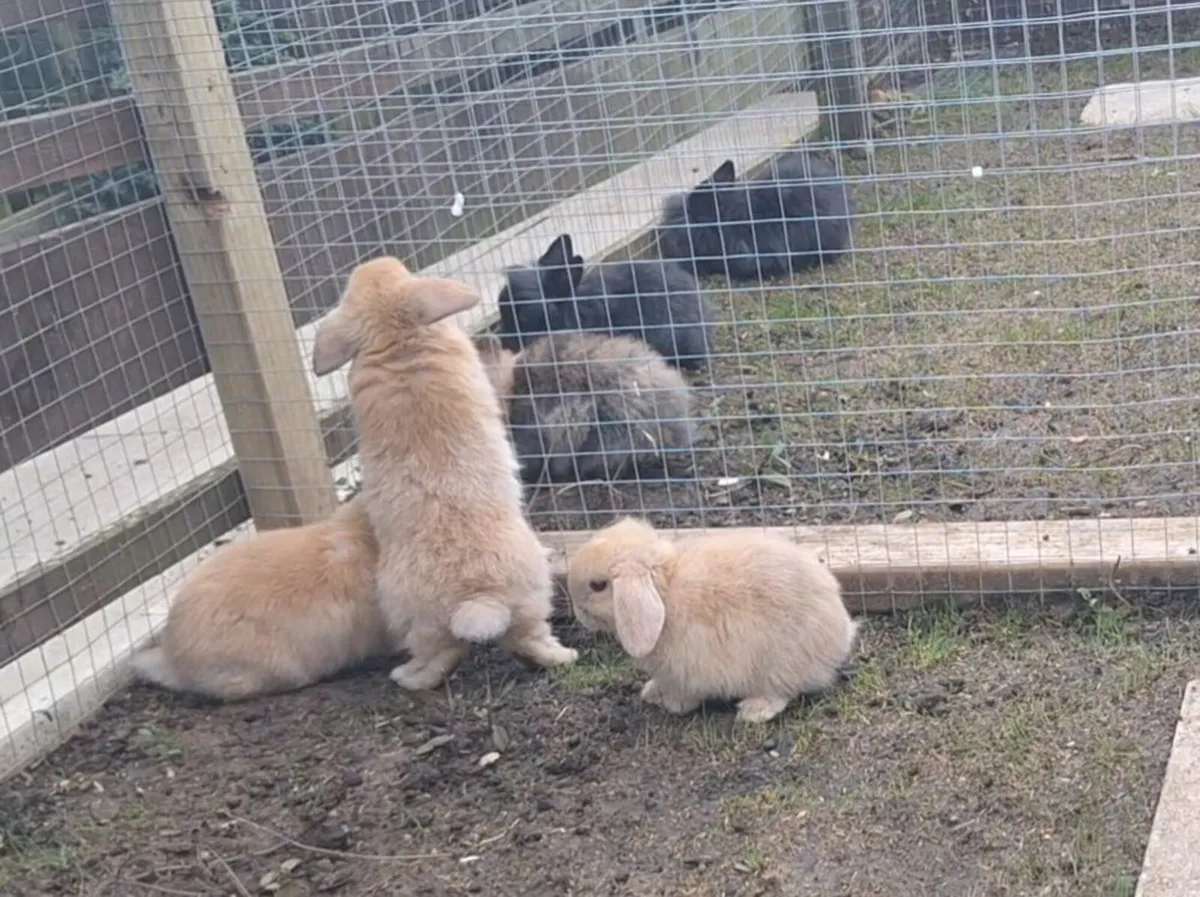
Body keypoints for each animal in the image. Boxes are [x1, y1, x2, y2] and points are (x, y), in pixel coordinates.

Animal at [310, 256, 578, 691]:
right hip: (529, 595)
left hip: (416, 618)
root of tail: (476, 597)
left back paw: (406, 677)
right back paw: (561, 657)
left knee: (443, 656)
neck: (398, 338)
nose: (377, 264)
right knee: (521, 640)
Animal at [565, 516, 860, 724]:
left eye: (597, 585)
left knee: (782, 691)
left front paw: (669, 704)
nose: (578, 613)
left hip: (778, 665)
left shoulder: (686, 672)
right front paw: (650, 692)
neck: (664, 592)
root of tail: (840, 636)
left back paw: (753, 711)